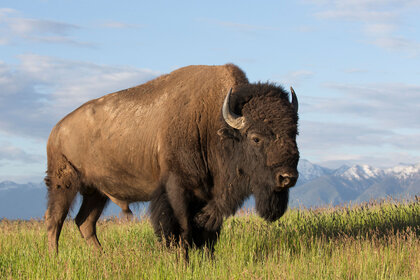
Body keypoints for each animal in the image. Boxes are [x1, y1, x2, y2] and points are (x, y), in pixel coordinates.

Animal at [45, 64, 298, 254]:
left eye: (294, 132)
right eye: (255, 138)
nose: (288, 177)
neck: (213, 122)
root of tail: (57, 129)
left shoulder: (210, 196)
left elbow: (208, 234)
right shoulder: (177, 190)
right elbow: (181, 230)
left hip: (96, 192)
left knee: (85, 222)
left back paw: (103, 257)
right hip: (63, 184)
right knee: (54, 220)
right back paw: (54, 259)